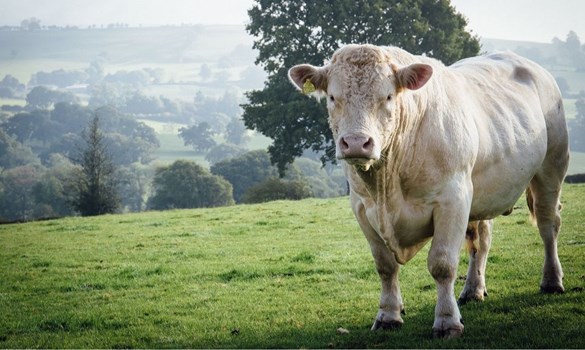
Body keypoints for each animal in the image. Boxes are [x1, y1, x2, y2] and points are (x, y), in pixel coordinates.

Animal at [290, 43, 568, 336]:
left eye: (388, 96)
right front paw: (388, 315)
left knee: (548, 224)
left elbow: (442, 264)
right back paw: (473, 289)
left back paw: (552, 281)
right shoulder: (362, 207)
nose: (356, 143)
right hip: (482, 192)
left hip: (552, 165)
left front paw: (447, 321)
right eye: (332, 97)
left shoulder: (452, 200)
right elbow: (385, 265)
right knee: (481, 240)